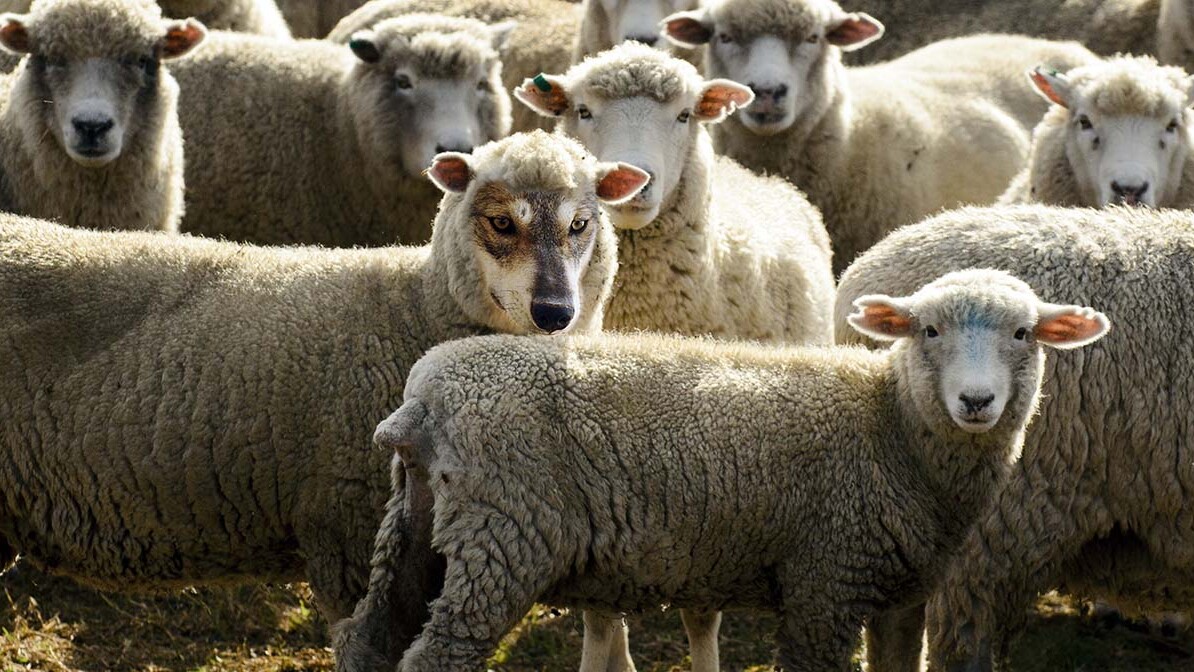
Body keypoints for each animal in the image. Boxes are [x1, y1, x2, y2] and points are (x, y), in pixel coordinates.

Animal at [340, 268, 1108, 672]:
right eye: (929, 330)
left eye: (1023, 333)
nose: (976, 401)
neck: (890, 426)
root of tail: (427, 392)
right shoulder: (825, 580)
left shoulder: (901, 596)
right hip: (503, 536)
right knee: (437, 655)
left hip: (417, 523)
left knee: (368, 637)